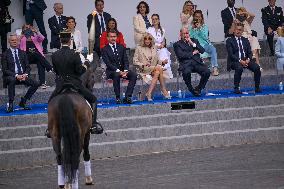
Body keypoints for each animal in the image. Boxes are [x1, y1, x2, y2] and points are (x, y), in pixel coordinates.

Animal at [47, 55, 98, 188]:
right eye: (92, 76)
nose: (91, 88)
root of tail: (66, 97)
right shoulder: (87, 133)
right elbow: (86, 153)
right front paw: (88, 179)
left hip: (55, 134)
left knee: (60, 157)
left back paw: (63, 184)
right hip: (79, 134)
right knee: (75, 156)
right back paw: (73, 183)